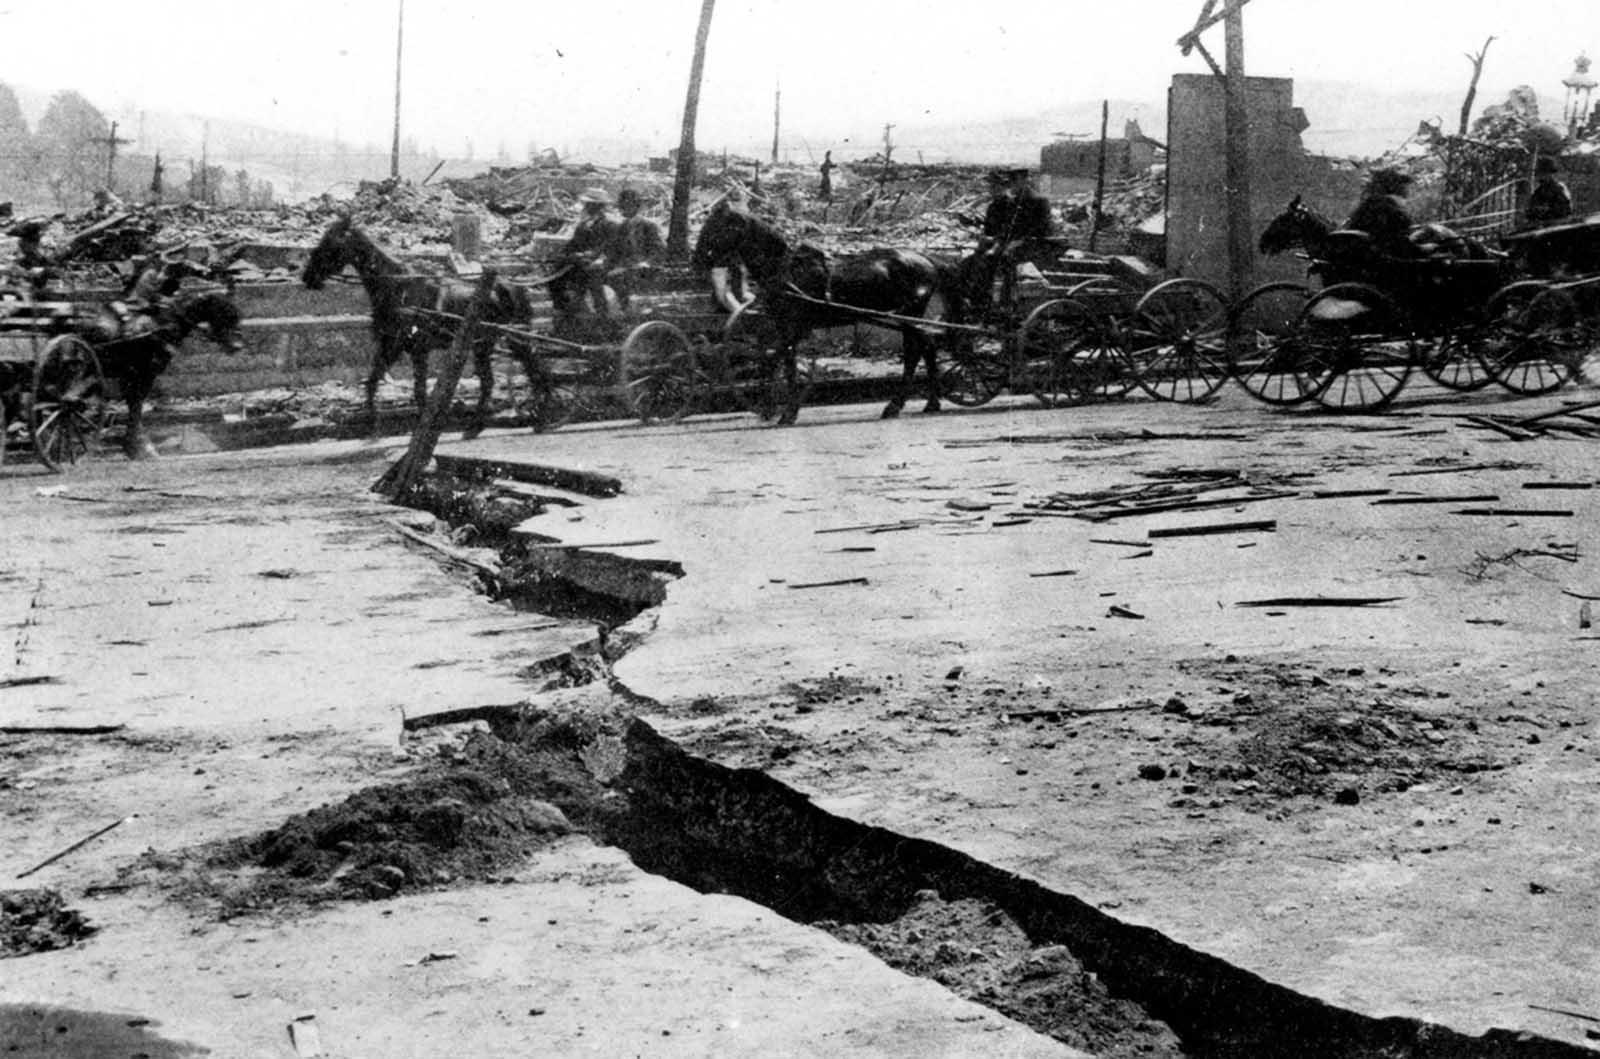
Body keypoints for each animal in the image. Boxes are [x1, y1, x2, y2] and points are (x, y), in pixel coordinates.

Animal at [294, 217, 531, 438]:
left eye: (331, 243)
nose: (308, 277)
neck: (398, 288)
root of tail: (506, 286)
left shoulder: (416, 348)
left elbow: (417, 391)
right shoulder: (391, 346)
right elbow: (373, 381)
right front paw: (371, 422)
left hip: (489, 343)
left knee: (498, 378)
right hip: (487, 344)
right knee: (500, 377)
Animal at [691, 204, 960, 425]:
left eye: (717, 226)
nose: (695, 261)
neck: (786, 270)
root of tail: (926, 259)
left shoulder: (793, 328)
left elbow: (781, 363)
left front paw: (783, 411)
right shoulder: (783, 326)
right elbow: (777, 362)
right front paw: (773, 408)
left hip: (909, 316)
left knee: (914, 353)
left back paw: (895, 405)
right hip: (910, 319)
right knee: (927, 346)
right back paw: (931, 403)